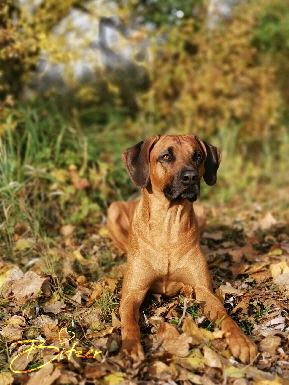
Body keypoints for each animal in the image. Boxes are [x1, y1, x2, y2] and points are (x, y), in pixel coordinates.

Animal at [106, 134, 256, 364]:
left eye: (198, 156)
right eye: (166, 156)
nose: (191, 177)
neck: (169, 226)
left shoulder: (203, 290)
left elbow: (224, 315)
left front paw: (242, 341)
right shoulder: (133, 292)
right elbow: (129, 321)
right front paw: (130, 346)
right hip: (113, 210)